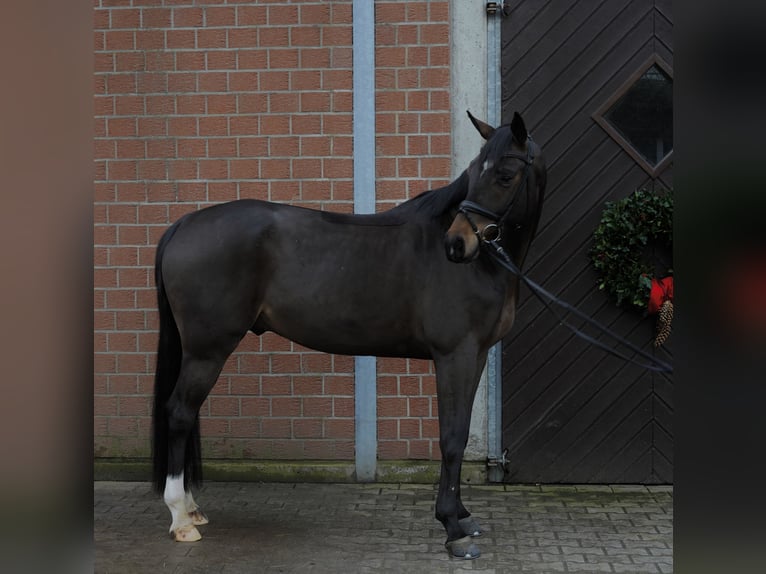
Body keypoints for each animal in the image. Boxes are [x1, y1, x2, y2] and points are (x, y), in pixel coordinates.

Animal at [152, 111, 546, 559]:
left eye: (505, 175)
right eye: (475, 172)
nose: (456, 245)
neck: (483, 265)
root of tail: (184, 224)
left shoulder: (474, 356)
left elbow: (459, 432)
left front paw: (462, 515)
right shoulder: (454, 355)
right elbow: (451, 436)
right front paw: (451, 527)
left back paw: (191, 509)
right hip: (207, 350)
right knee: (179, 413)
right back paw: (181, 518)